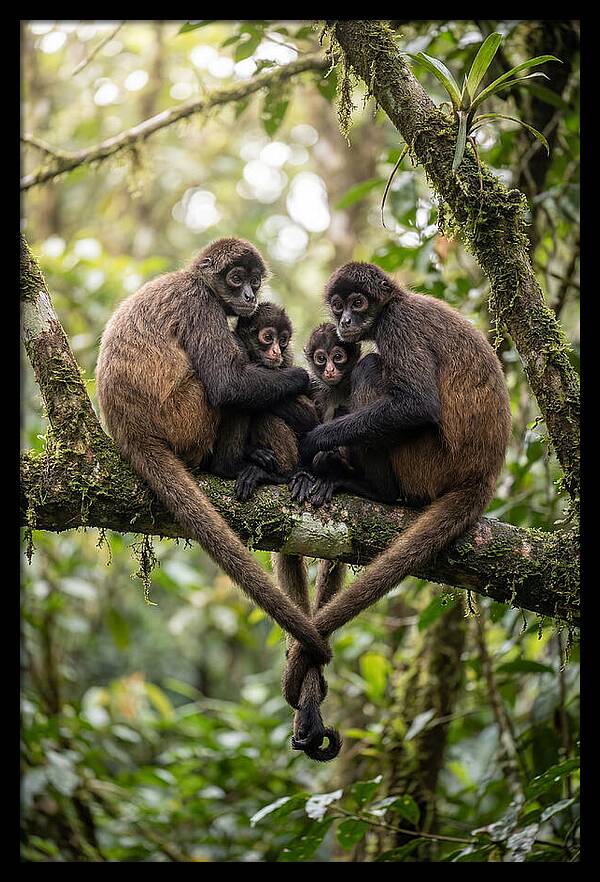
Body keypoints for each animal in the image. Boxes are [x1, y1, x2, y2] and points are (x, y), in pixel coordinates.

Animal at [95, 238, 331, 666]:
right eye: (236, 278)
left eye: (255, 281)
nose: (250, 295)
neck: (194, 279)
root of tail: (129, 430)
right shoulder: (200, 305)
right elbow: (227, 384)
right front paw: (302, 377)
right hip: (186, 418)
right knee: (226, 387)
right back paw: (230, 466)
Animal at [284, 261, 511, 712]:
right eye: (338, 306)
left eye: (358, 303)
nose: (346, 321)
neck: (397, 302)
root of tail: (483, 474)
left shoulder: (397, 325)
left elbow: (417, 404)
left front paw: (316, 444)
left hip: (427, 462)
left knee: (373, 366)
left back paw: (370, 488)